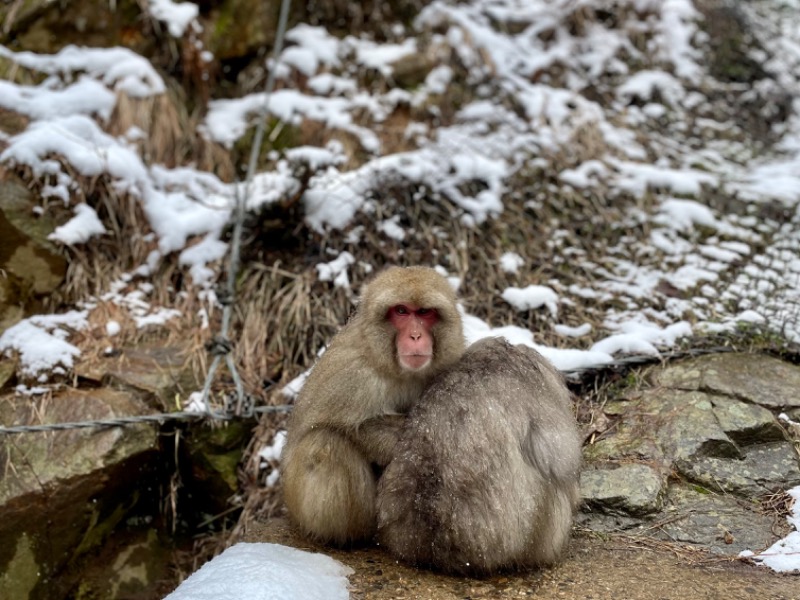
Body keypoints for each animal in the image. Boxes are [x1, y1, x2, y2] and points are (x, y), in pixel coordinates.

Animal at [282, 266, 466, 544]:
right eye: (401, 311)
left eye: (424, 312)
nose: (415, 335)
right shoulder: (354, 376)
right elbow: (349, 428)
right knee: (324, 443)